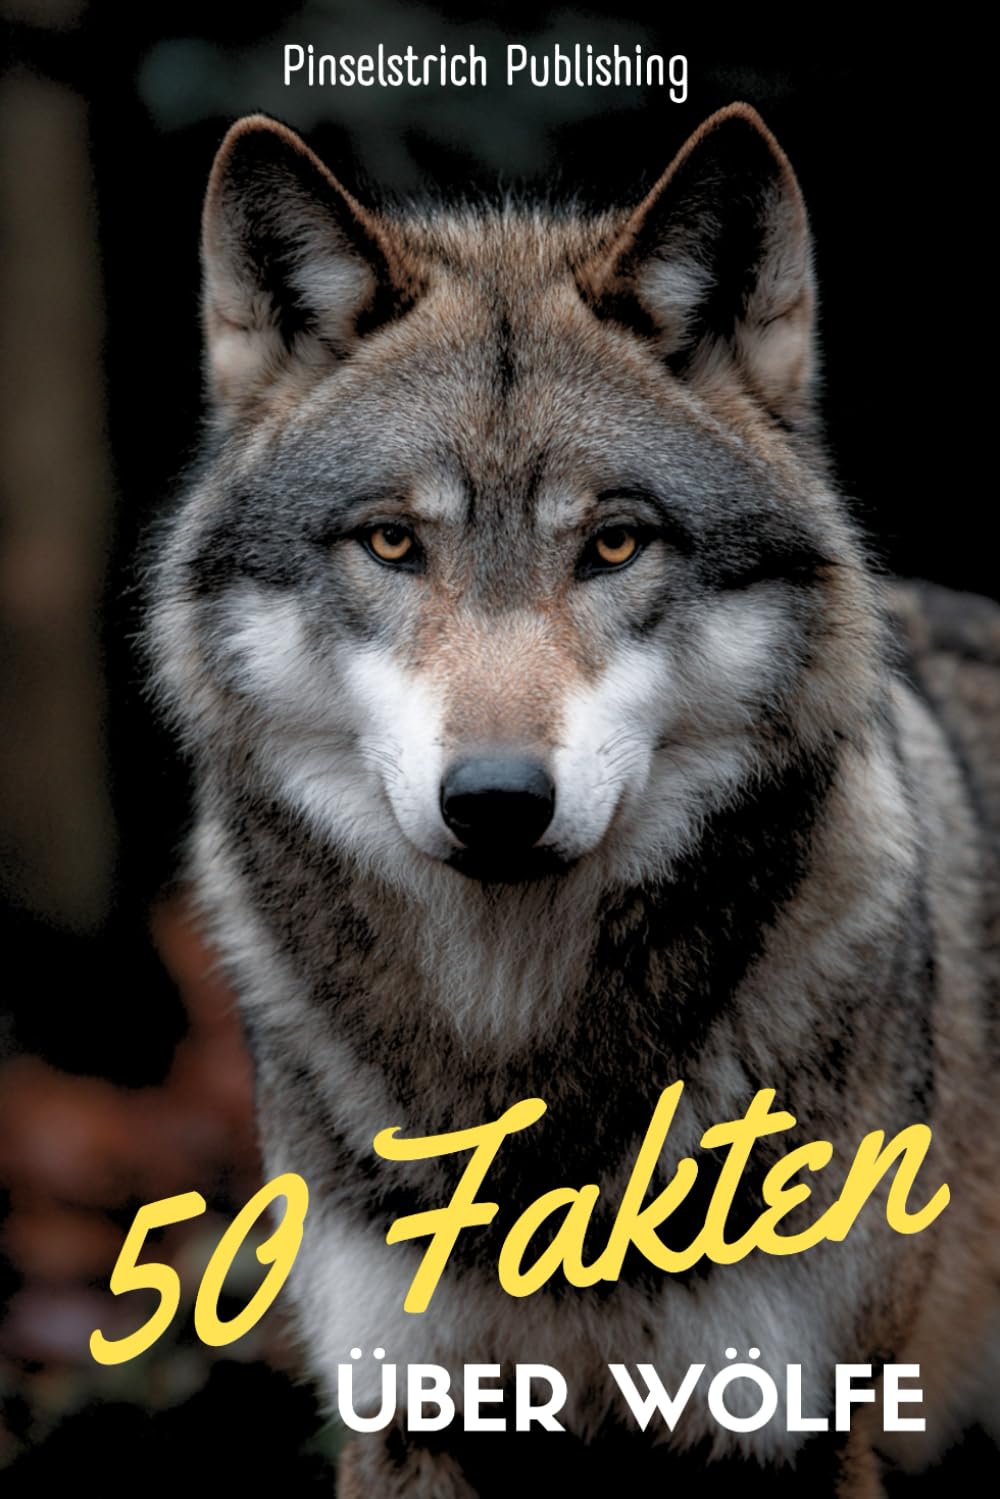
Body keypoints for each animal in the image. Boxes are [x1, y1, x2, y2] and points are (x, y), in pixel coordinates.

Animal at [146, 103, 1000, 1496]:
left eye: (614, 542)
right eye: (393, 542)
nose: (496, 799)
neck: (524, 1063)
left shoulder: (801, 1424)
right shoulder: (404, 1414)